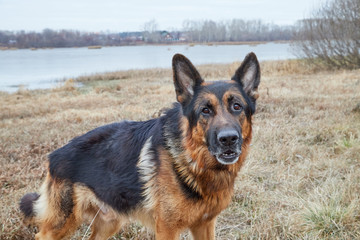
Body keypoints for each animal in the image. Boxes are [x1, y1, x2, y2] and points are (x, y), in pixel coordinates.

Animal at [19, 52, 260, 238]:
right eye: (205, 110)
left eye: (237, 106)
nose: (228, 139)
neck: (193, 160)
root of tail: (53, 157)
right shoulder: (167, 230)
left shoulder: (205, 225)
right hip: (61, 225)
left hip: (108, 223)